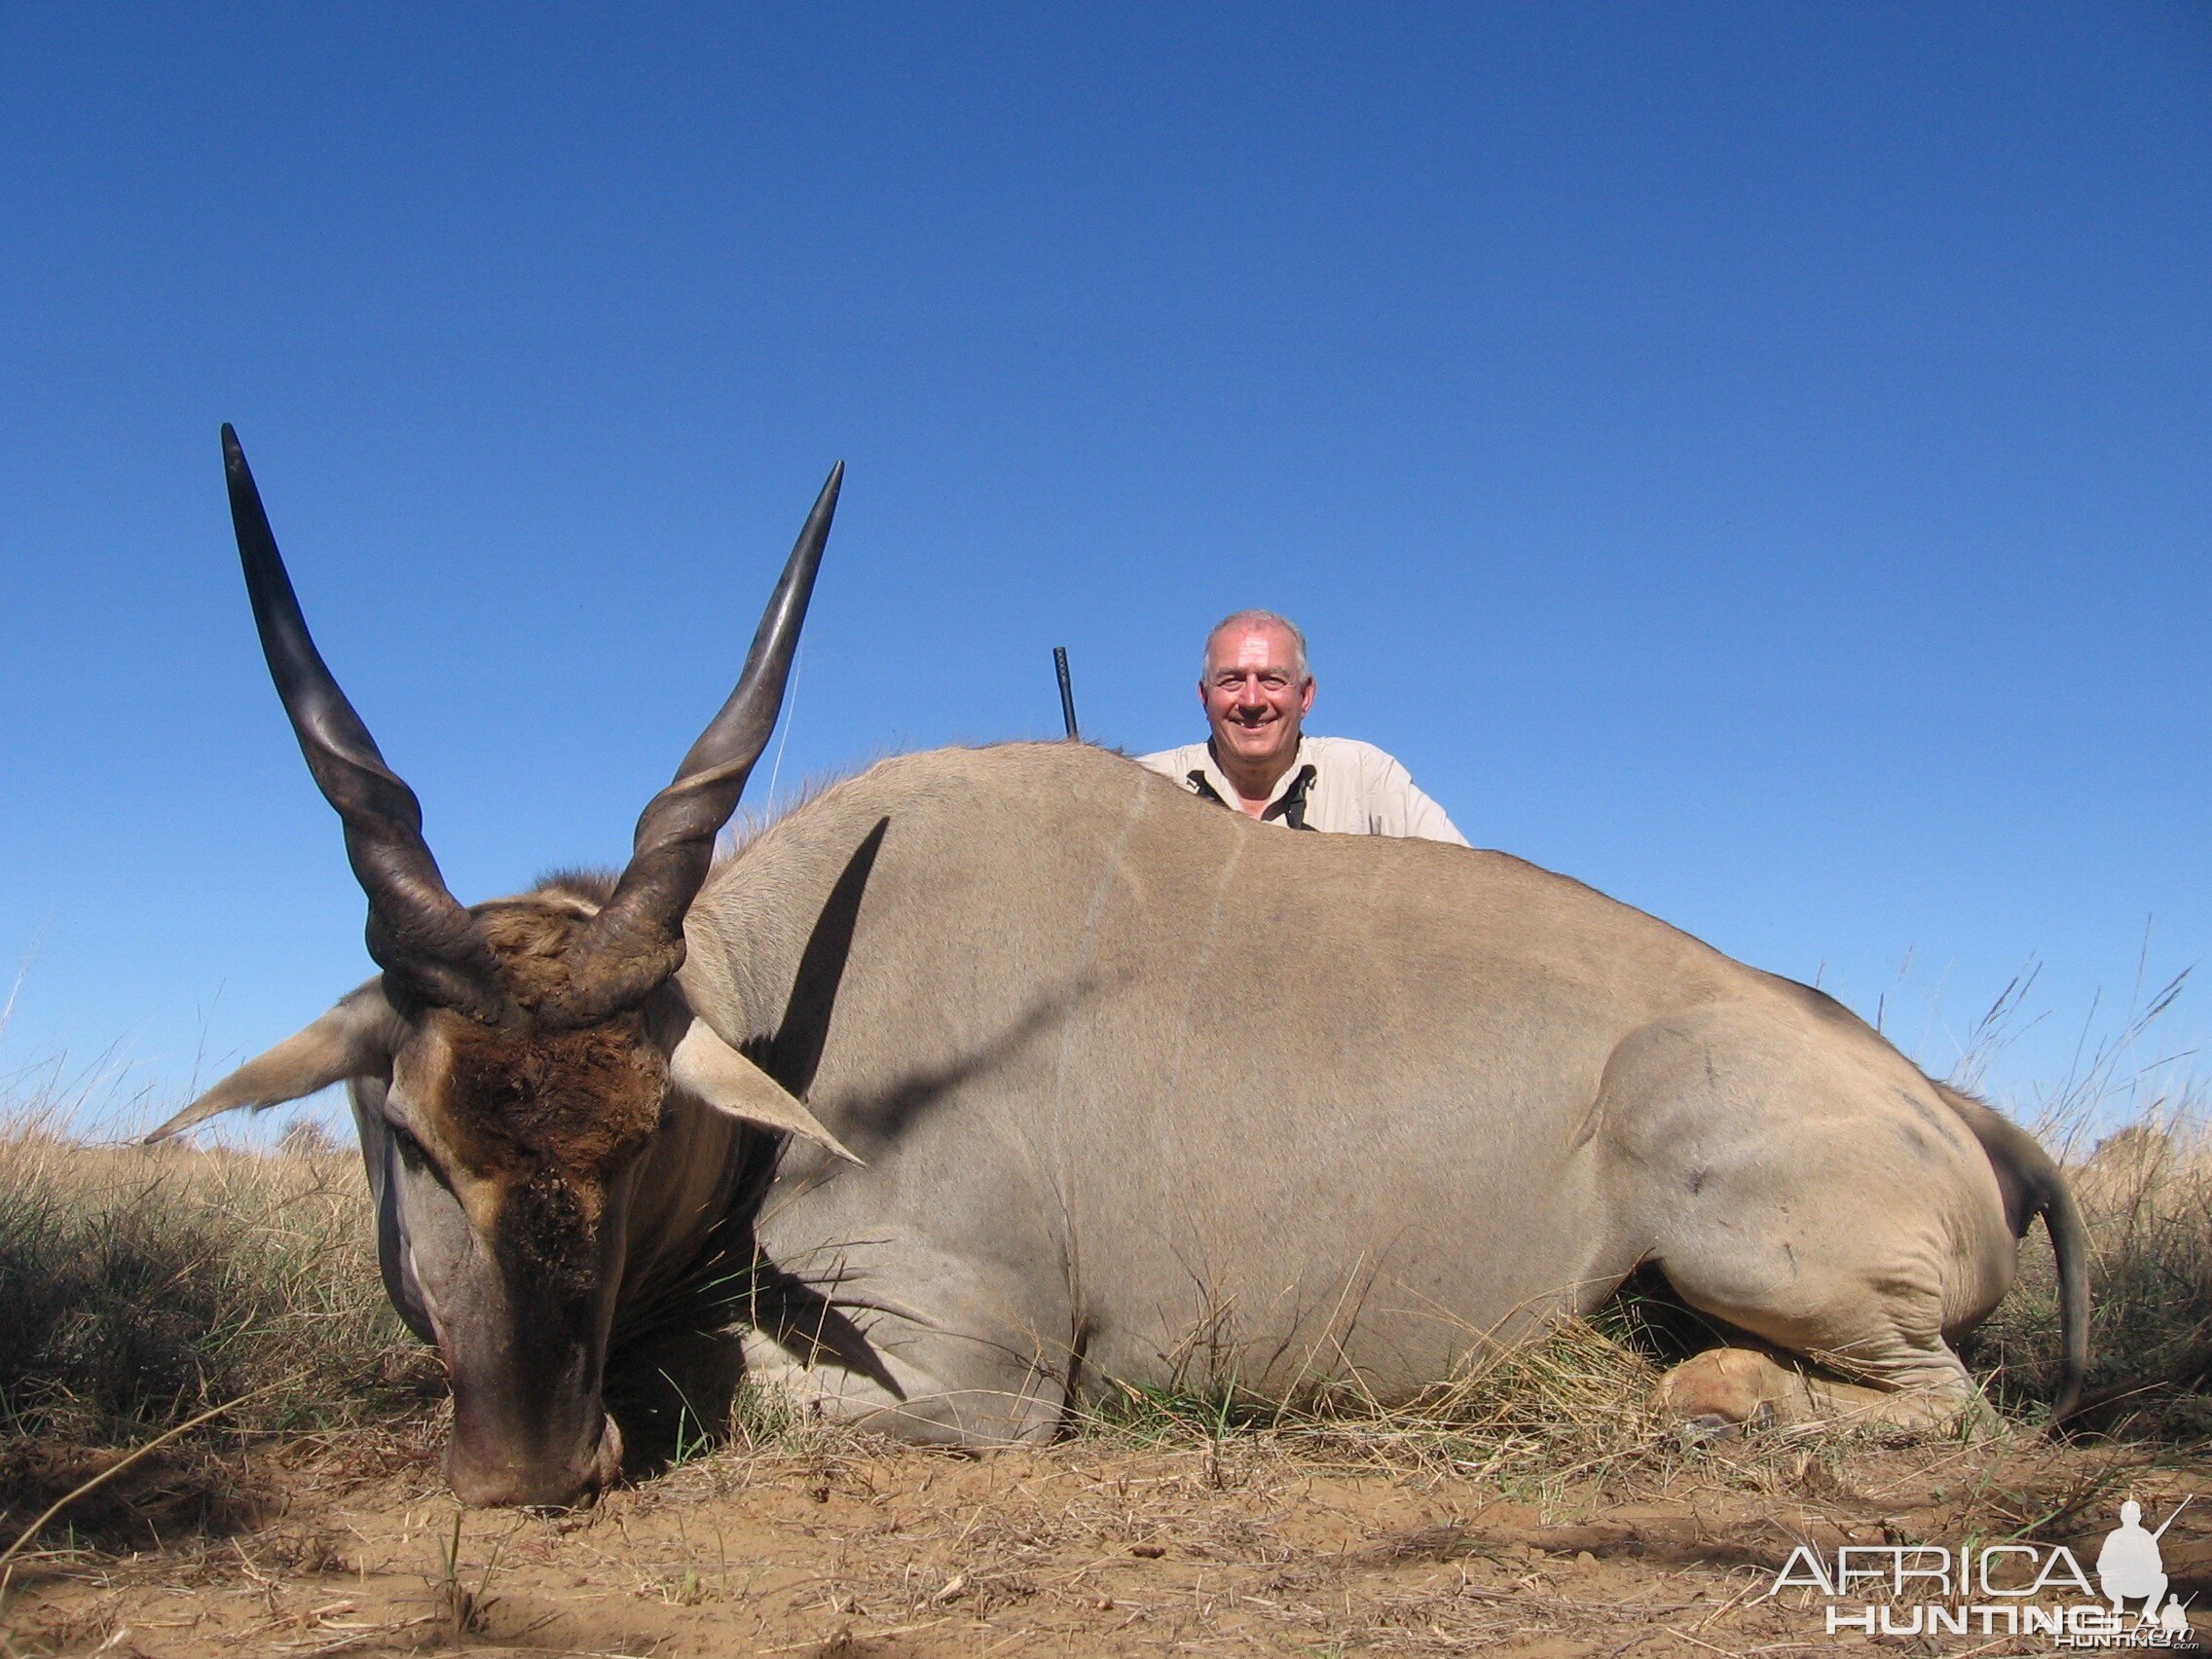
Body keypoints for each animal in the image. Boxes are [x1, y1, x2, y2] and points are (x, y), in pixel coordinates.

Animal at [160, 424, 2087, 1503]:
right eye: (414, 1138)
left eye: (636, 1142)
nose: (525, 1467)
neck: (786, 1020)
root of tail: (1952, 1110)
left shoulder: (975, 1370)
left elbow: (713, 1382)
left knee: (1944, 1404)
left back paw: (1699, 1396)